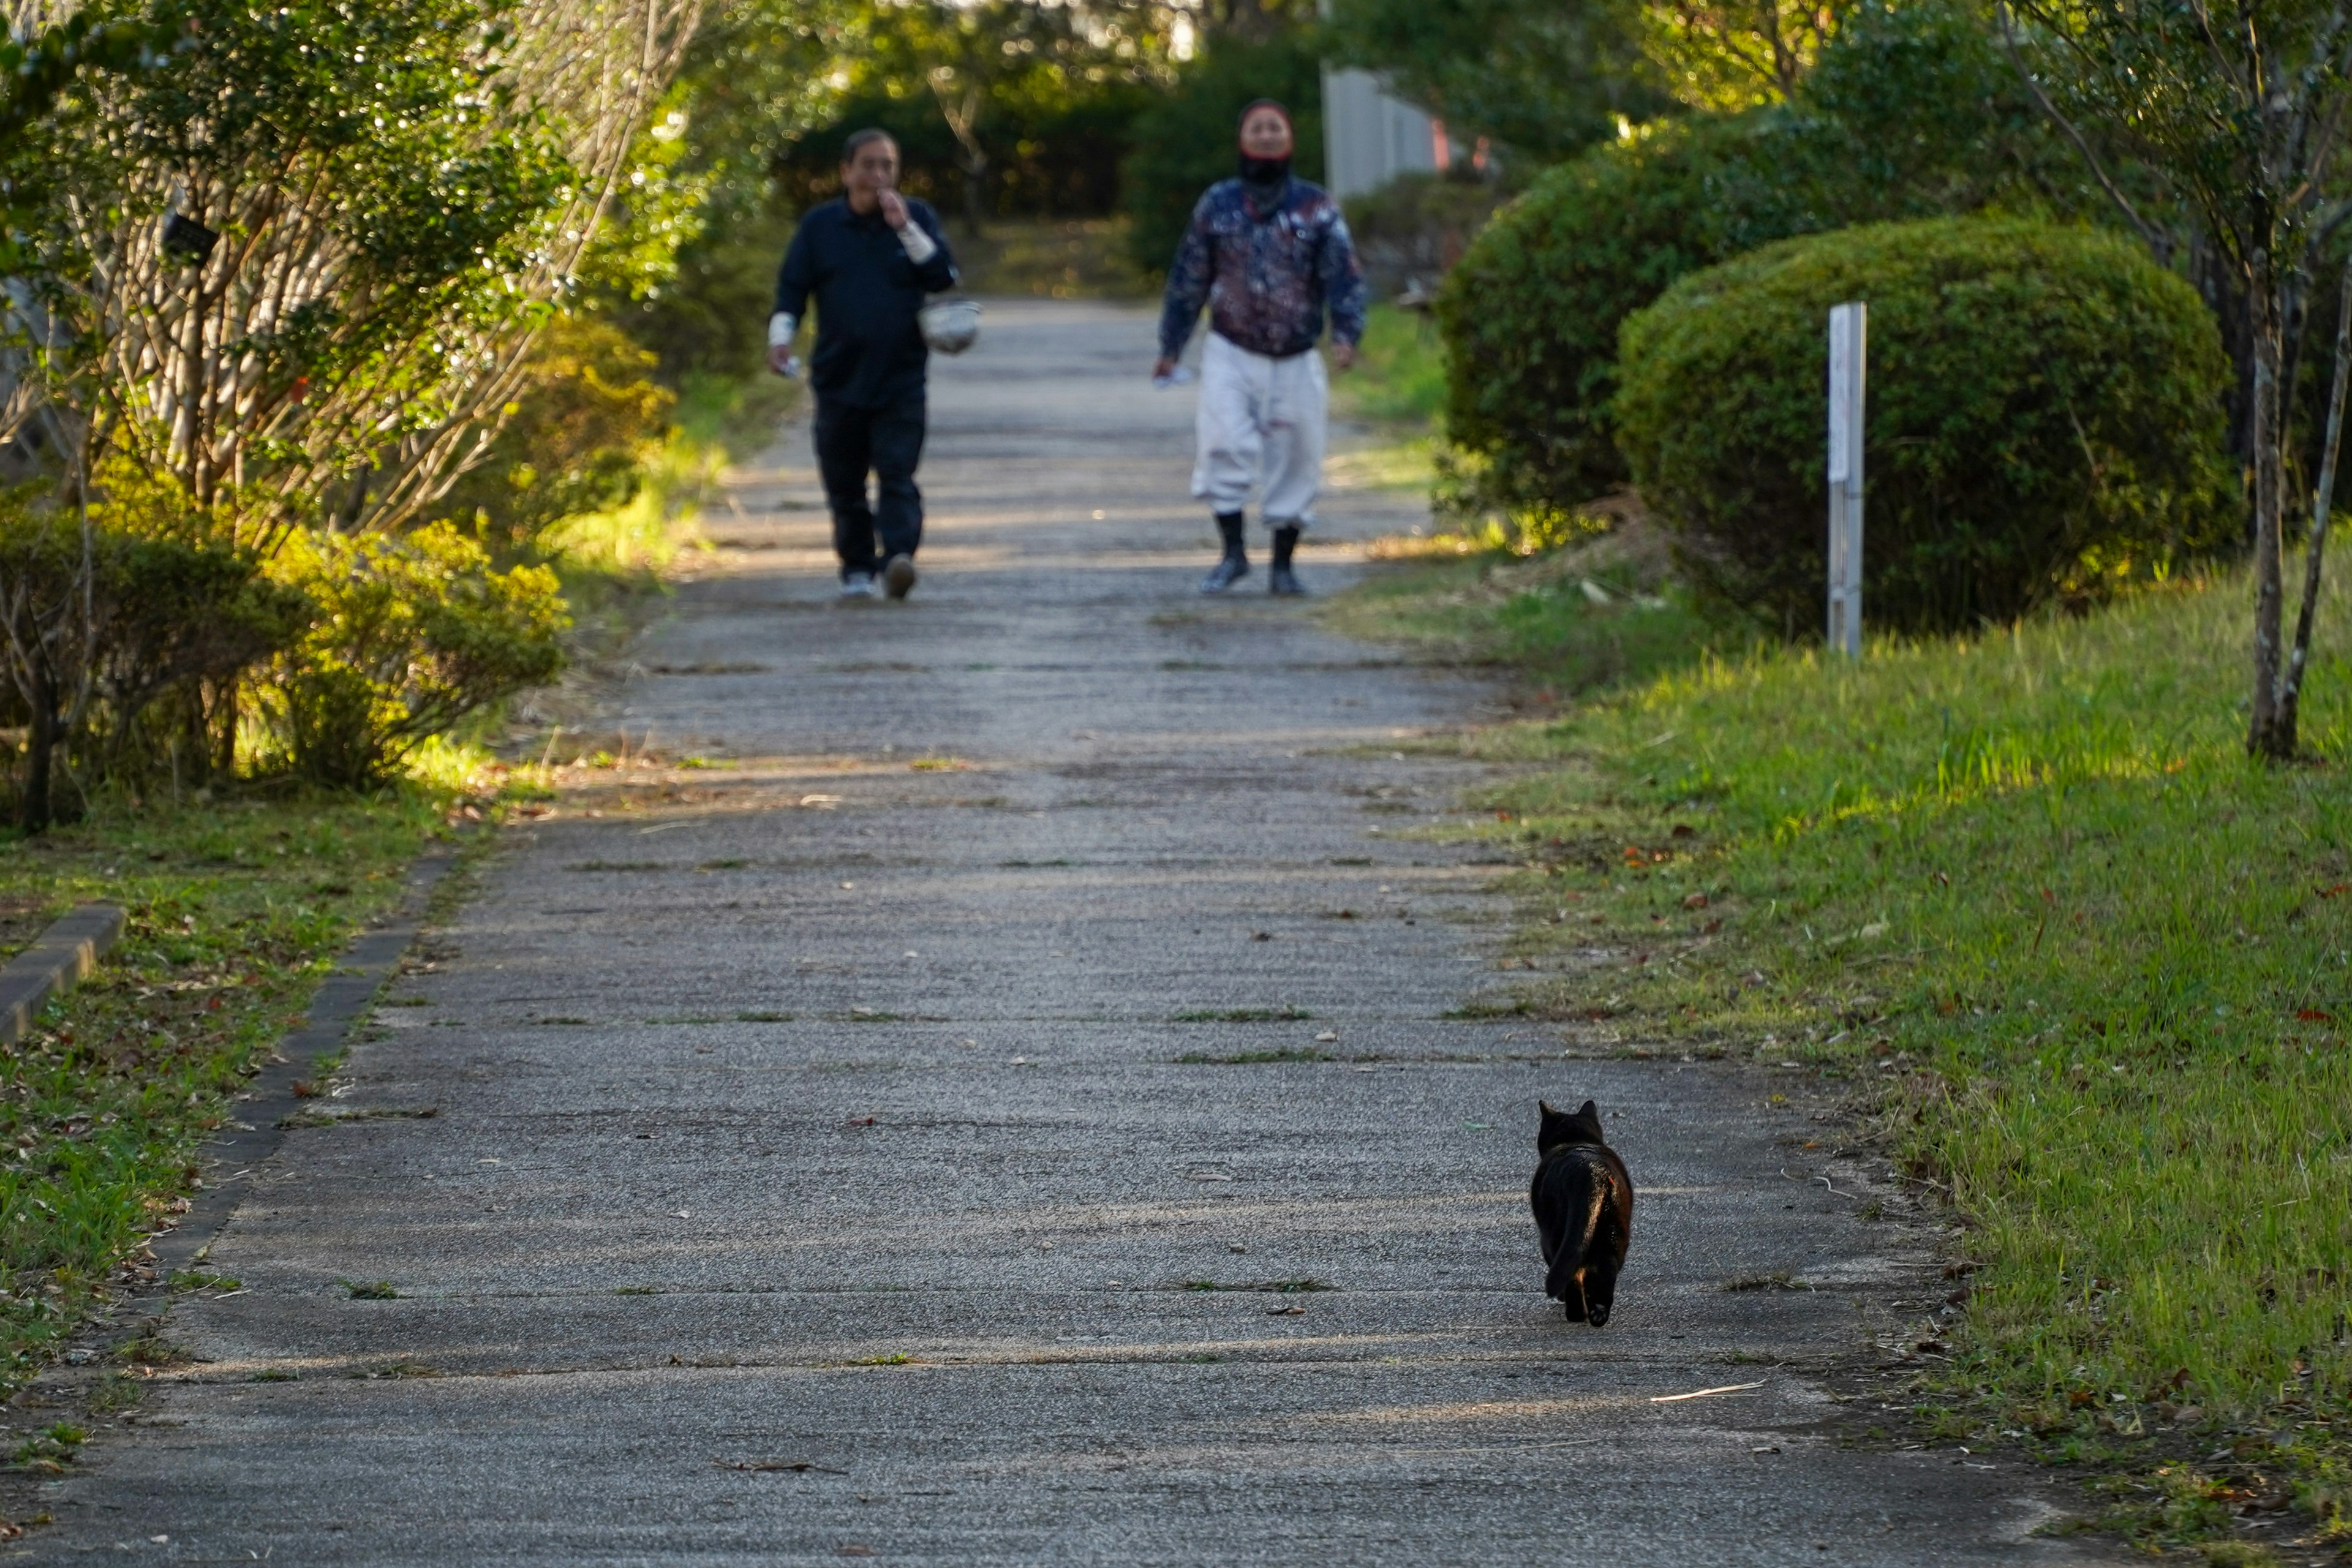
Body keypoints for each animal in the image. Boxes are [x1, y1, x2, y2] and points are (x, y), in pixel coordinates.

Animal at [1524, 1104, 1637, 1325]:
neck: (1576, 1139)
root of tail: (1591, 1172)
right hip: (1613, 1233)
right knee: (1606, 1270)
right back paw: (1598, 1313)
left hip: (1556, 1233)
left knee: (1573, 1274)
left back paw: (1576, 1315)